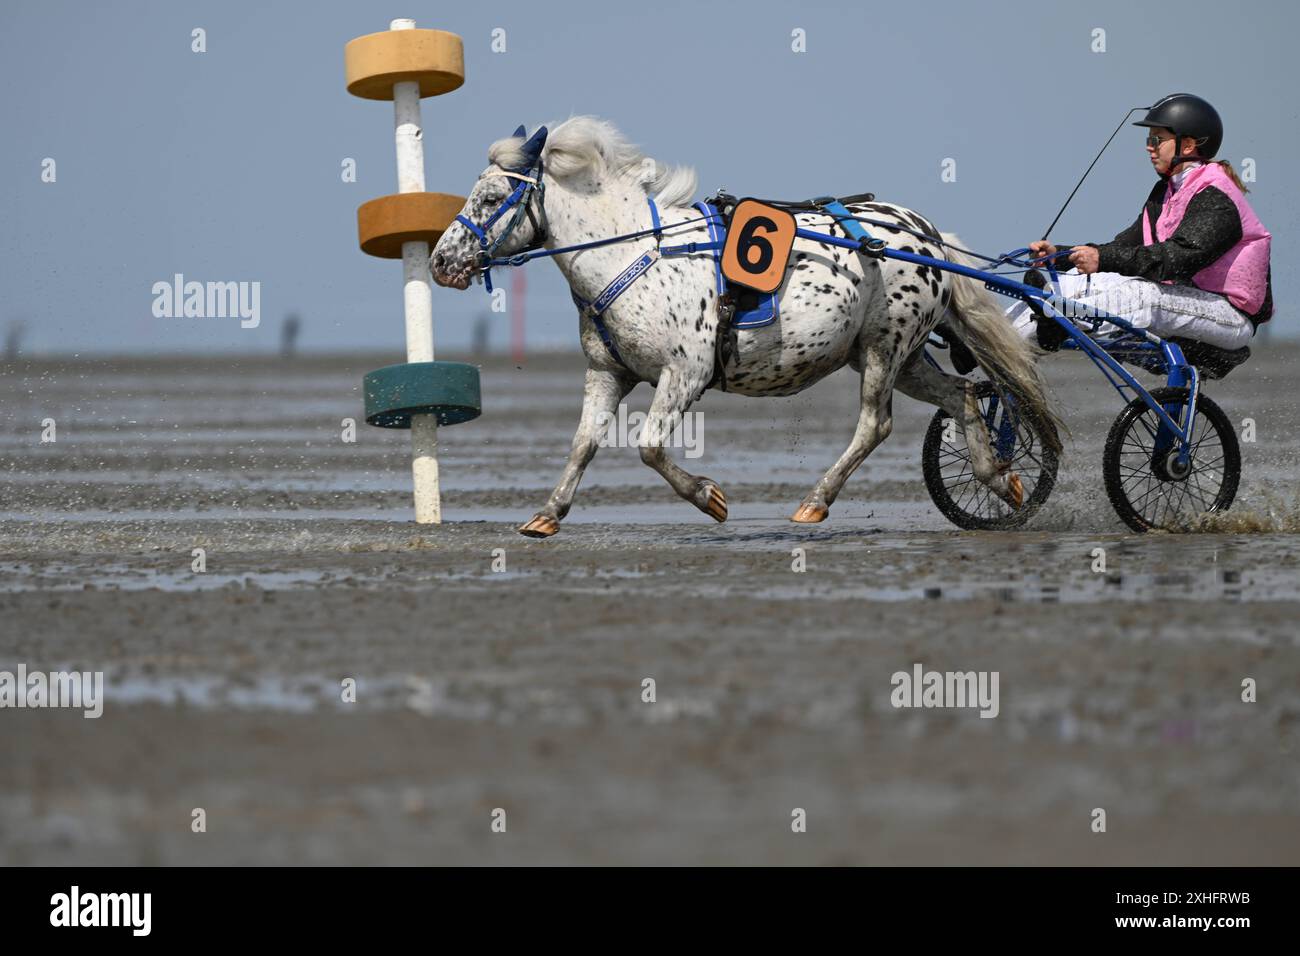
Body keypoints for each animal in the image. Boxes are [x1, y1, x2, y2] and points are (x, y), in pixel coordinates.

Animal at [431, 115, 1060, 535]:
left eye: (490, 196)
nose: (440, 261)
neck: (637, 255)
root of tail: (926, 234)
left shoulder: (685, 373)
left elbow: (651, 447)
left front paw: (709, 497)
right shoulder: (607, 371)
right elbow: (584, 443)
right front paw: (547, 513)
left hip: (888, 347)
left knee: (874, 425)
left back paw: (816, 500)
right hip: (897, 356)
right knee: (962, 396)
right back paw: (1000, 478)